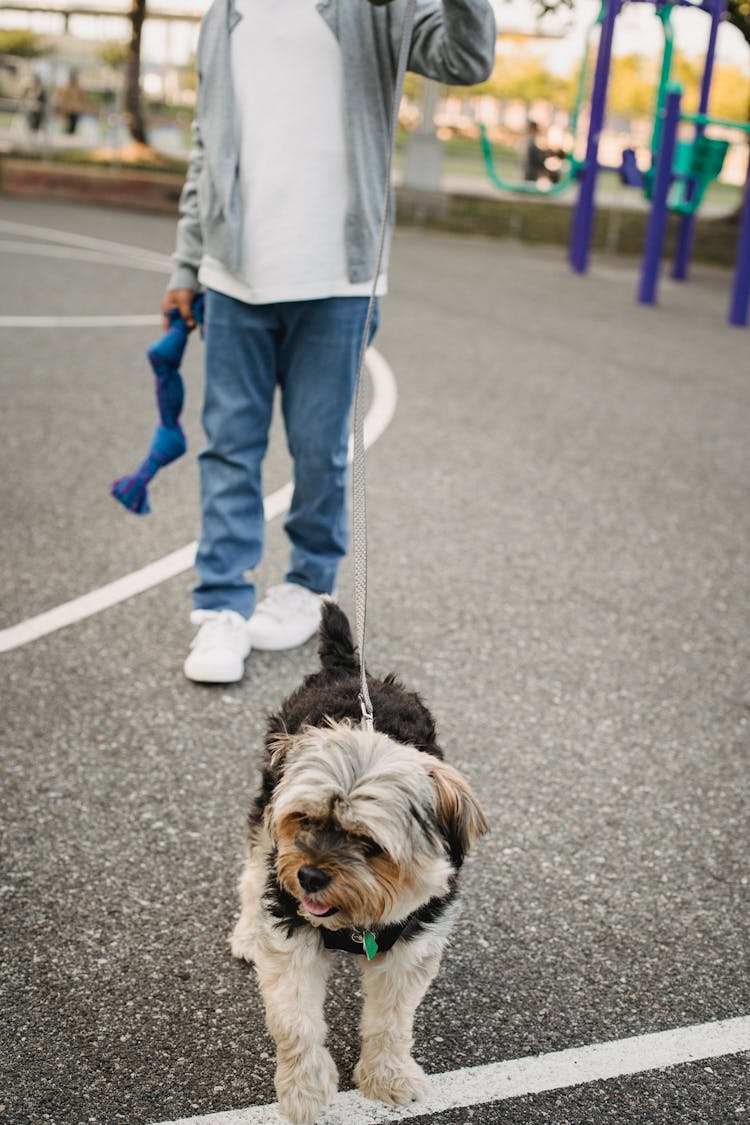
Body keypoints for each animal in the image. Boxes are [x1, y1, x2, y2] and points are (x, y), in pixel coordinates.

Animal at [230, 603, 488, 1125]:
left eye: (368, 842)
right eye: (305, 819)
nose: (308, 876)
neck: (356, 923)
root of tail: (348, 667)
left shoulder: (410, 946)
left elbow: (391, 1019)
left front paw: (388, 1078)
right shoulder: (291, 936)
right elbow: (296, 1022)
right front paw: (304, 1092)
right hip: (265, 815)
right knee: (252, 872)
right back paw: (247, 932)